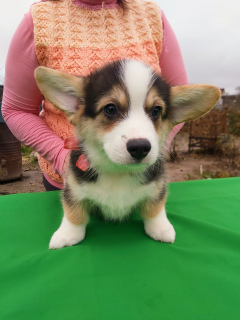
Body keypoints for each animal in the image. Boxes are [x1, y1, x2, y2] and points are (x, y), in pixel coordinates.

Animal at [34, 60, 221, 250]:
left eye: (156, 111)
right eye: (110, 108)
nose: (140, 147)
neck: (118, 171)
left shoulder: (157, 187)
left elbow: (155, 209)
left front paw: (161, 229)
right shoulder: (73, 188)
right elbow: (74, 213)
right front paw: (67, 235)